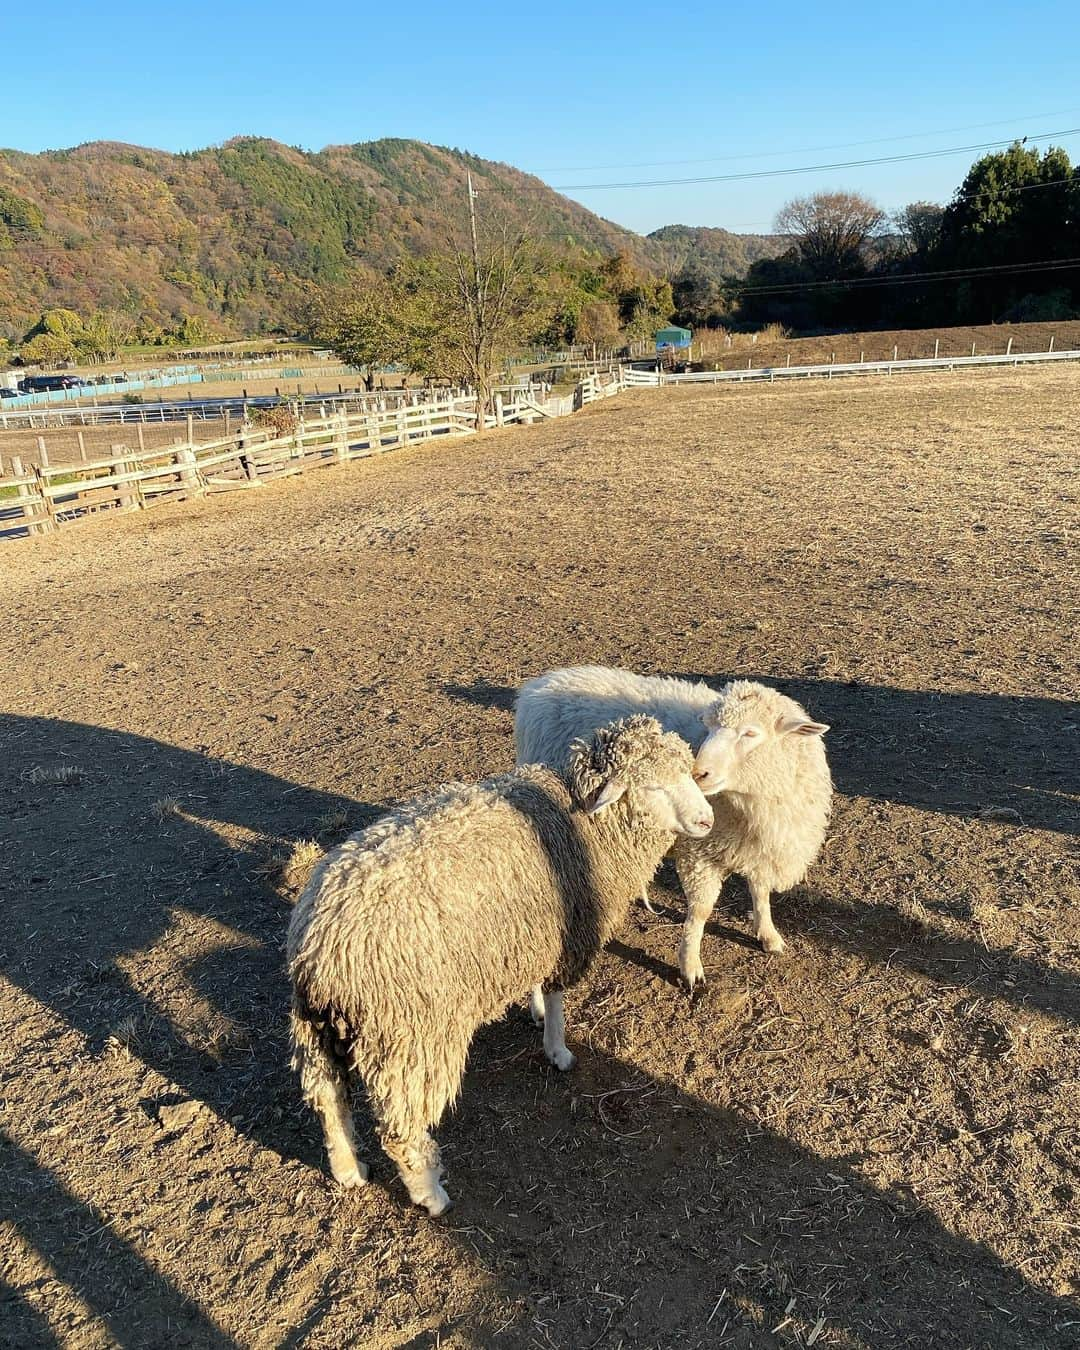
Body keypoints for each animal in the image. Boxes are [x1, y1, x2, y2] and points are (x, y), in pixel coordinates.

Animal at [284, 712, 718, 1220]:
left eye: (688, 772)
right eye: (651, 786)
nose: (707, 819)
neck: (581, 816)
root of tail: (324, 949)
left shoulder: (532, 936)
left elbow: (538, 985)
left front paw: (533, 1011)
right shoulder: (566, 932)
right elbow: (557, 997)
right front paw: (558, 1049)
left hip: (316, 1032)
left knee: (329, 1101)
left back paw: (349, 1170)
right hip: (410, 1036)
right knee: (401, 1130)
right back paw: (431, 1195)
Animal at [515, 666, 837, 993]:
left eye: (750, 733)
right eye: (708, 727)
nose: (698, 773)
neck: (754, 800)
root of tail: (542, 683)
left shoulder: (759, 847)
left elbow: (760, 892)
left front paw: (768, 934)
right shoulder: (698, 854)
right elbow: (700, 912)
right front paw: (690, 967)